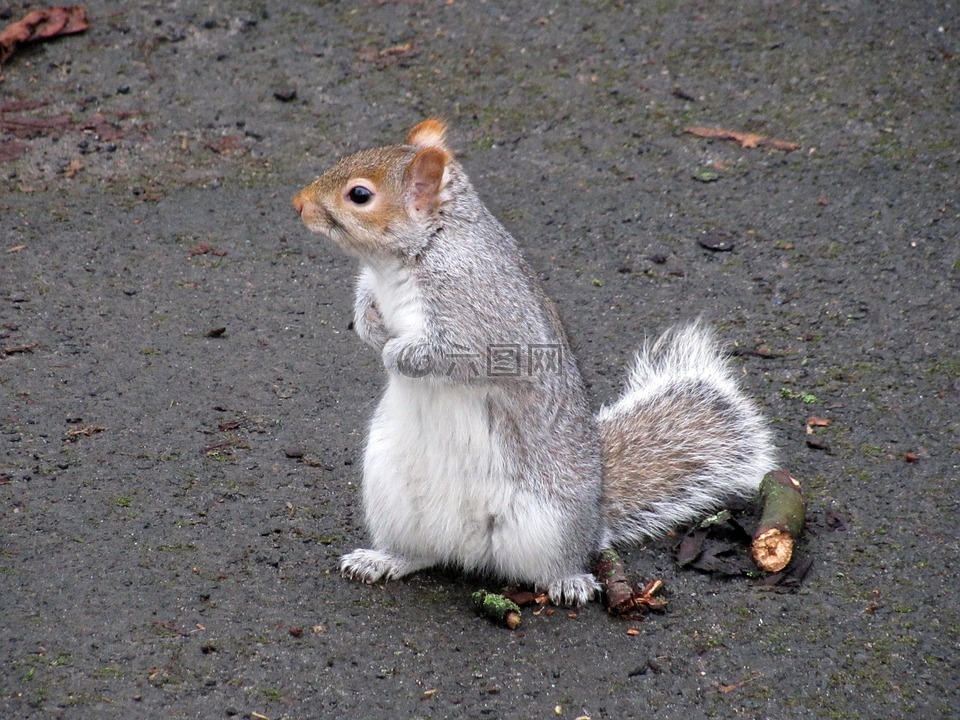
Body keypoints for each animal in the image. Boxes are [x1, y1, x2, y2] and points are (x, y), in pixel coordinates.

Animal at [288, 121, 776, 604]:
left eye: (359, 195)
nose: (299, 204)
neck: (410, 257)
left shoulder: (482, 316)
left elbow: (452, 354)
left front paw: (395, 354)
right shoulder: (374, 285)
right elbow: (365, 305)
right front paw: (371, 329)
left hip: (547, 524)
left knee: (551, 564)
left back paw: (568, 582)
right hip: (392, 497)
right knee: (421, 553)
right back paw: (382, 560)